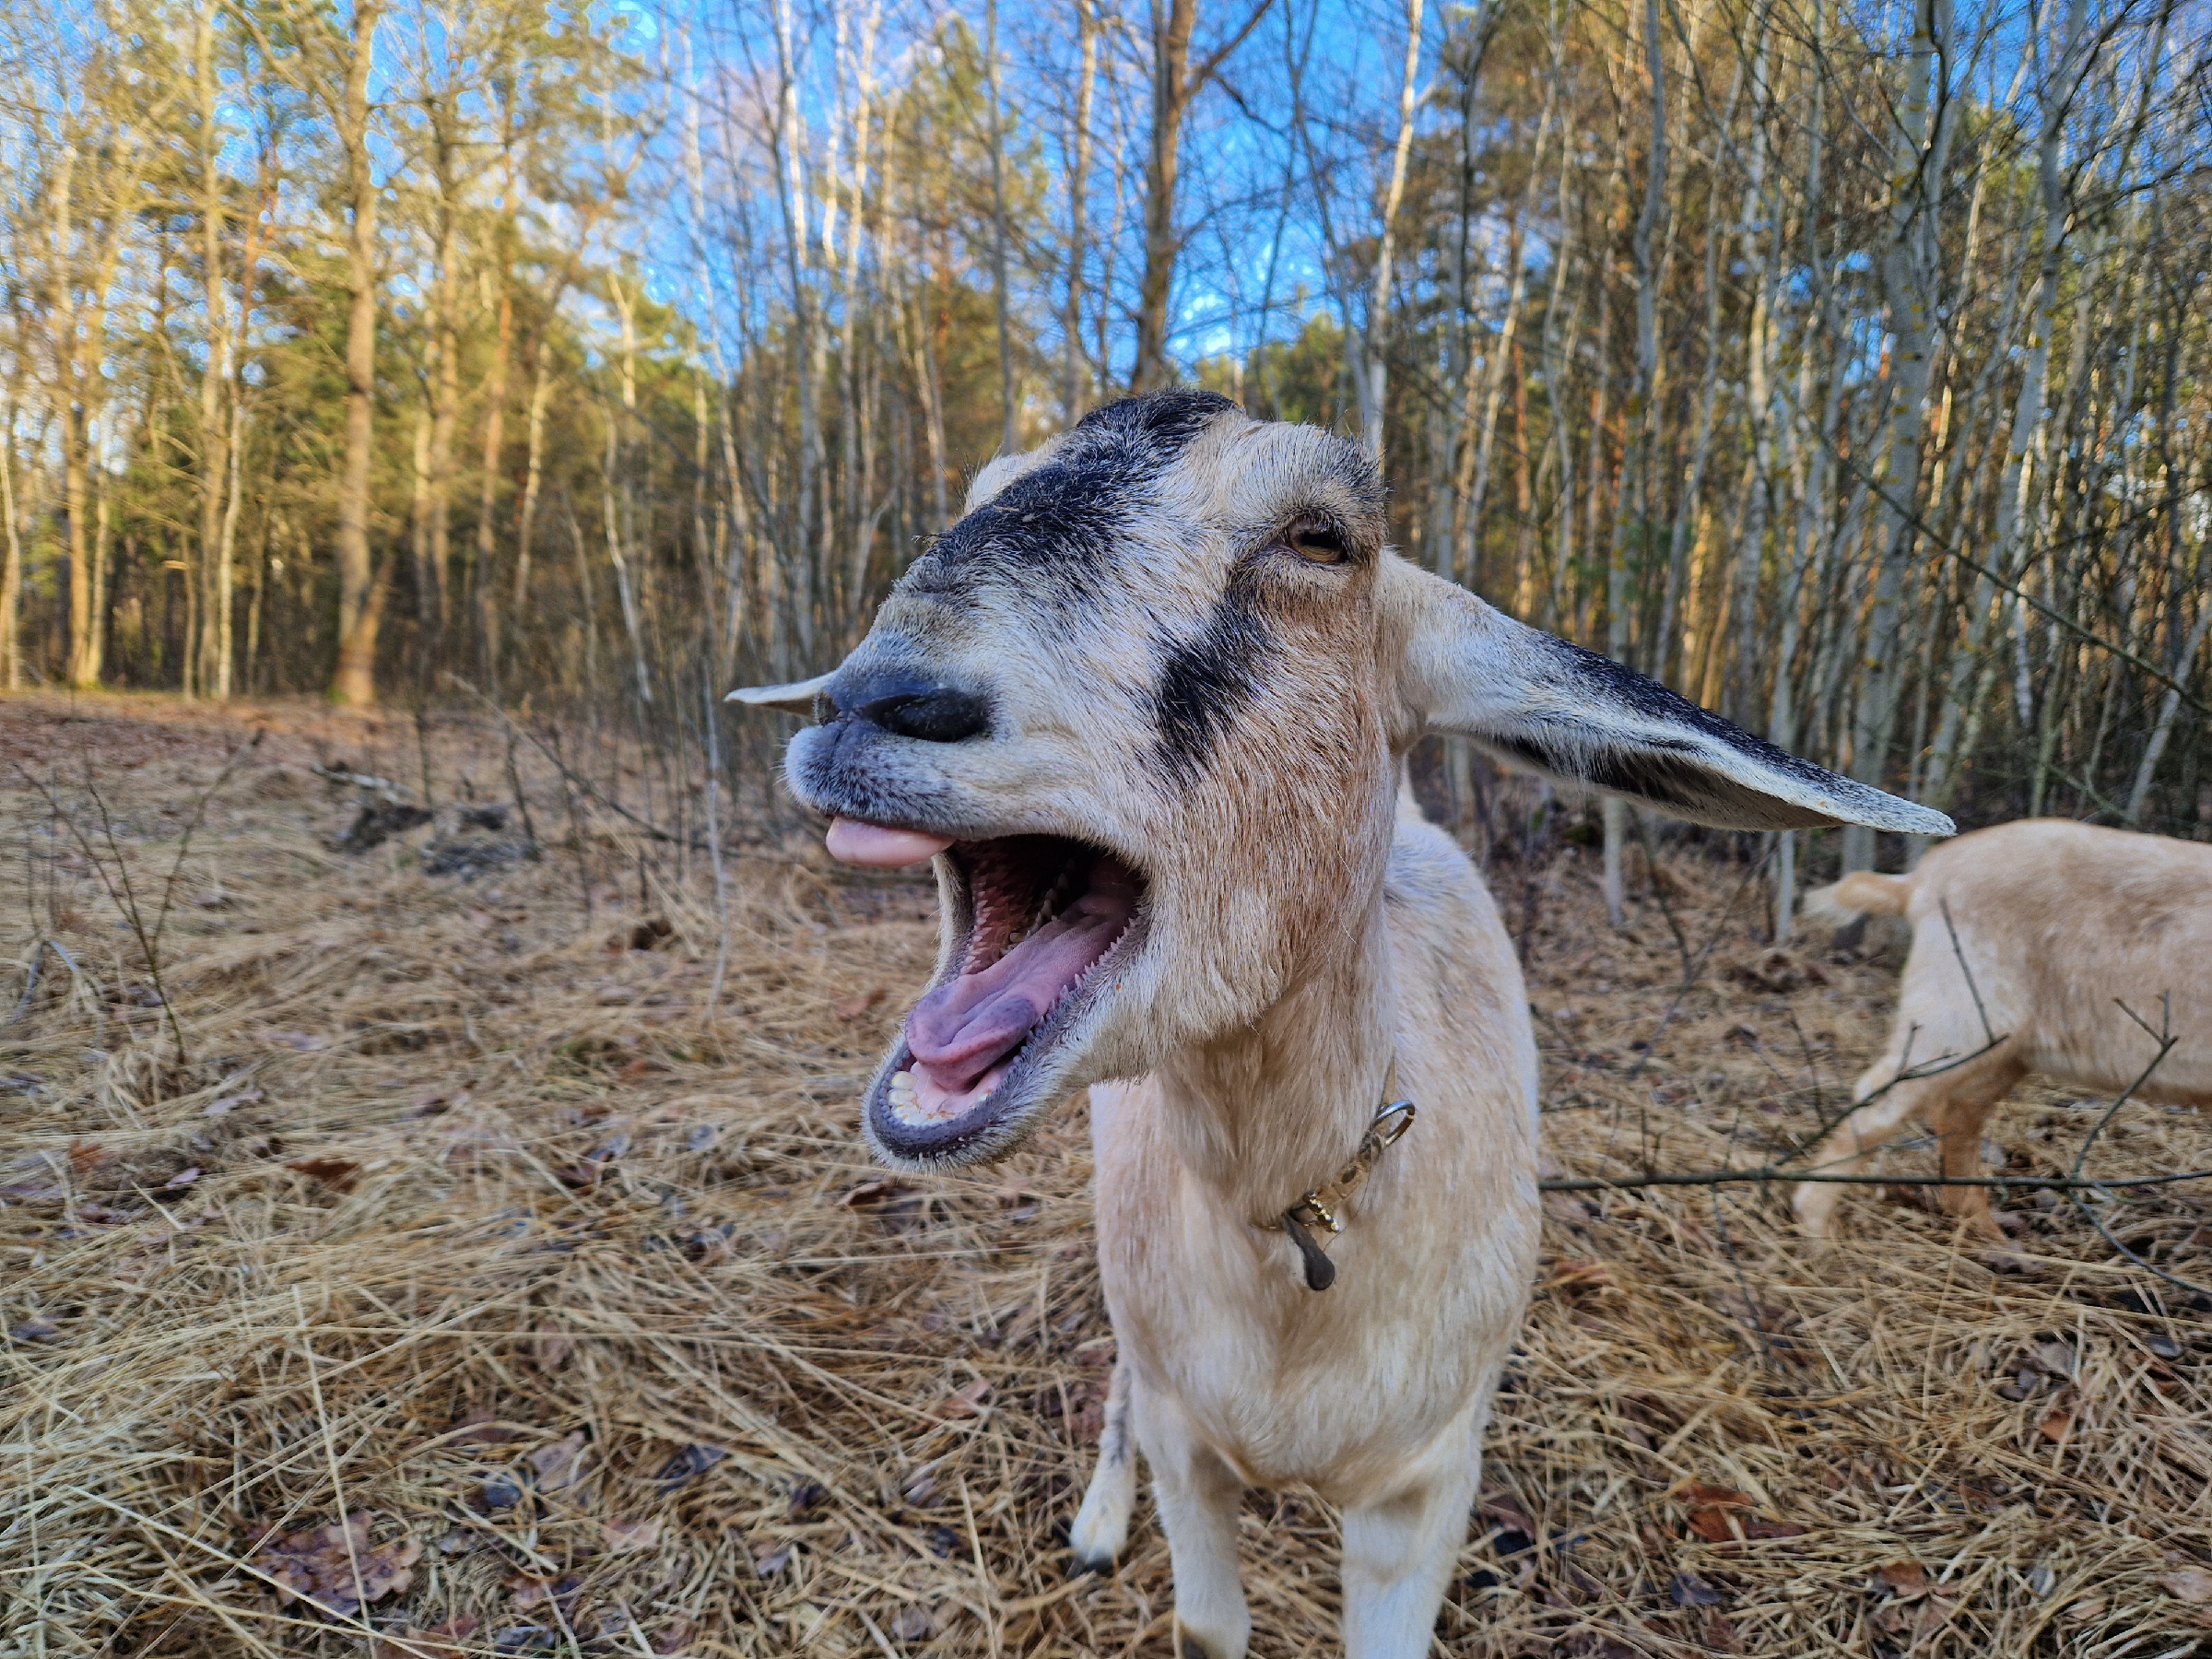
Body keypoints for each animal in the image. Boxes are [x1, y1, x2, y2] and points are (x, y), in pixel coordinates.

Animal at [734, 394, 1947, 1659]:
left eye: (1322, 538)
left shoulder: (1427, 1489)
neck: (1297, 1220)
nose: (873, 701)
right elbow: (1205, 1618)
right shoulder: (1188, 1443)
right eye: (980, 492)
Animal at [1787, 822, 2203, 1247]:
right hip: (1956, 1012)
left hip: (2003, 1047)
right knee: (1881, 1098)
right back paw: (1816, 1229)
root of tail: (1923, 878)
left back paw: (1988, 1234)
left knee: (1960, 1114)